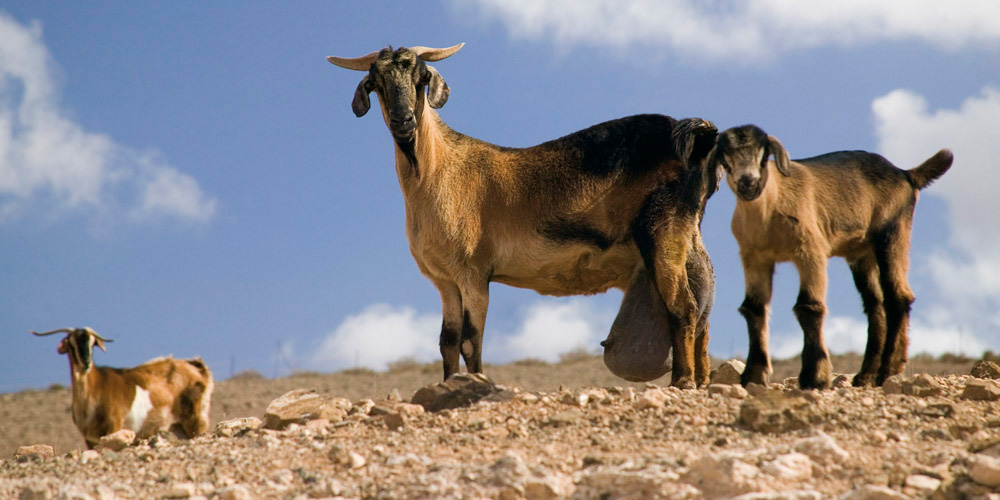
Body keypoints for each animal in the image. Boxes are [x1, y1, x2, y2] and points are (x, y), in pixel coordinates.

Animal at [34, 326, 213, 448]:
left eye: (92, 344)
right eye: (71, 344)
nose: (85, 362)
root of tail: (198, 368)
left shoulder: (114, 427)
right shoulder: (89, 439)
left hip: (197, 420)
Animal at [328, 44, 720, 386]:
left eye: (422, 77)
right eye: (375, 82)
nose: (403, 121)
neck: (439, 170)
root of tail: (695, 138)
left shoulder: (473, 272)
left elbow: (471, 340)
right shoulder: (445, 281)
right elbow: (447, 342)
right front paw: (449, 385)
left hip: (663, 232)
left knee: (683, 306)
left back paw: (682, 381)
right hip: (687, 237)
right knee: (703, 306)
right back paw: (701, 380)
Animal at [708, 125, 948, 390]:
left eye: (763, 157)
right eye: (726, 161)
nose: (748, 183)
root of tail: (906, 174)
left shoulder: (811, 250)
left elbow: (808, 306)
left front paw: (815, 376)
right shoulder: (754, 258)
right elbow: (753, 308)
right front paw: (753, 375)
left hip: (893, 231)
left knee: (898, 296)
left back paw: (887, 372)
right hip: (862, 253)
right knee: (875, 303)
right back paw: (865, 375)